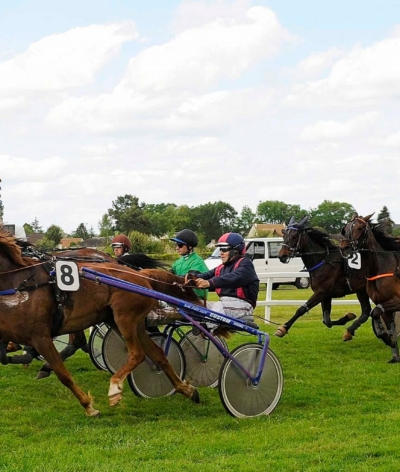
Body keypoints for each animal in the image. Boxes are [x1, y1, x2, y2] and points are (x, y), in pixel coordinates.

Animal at [0, 230, 202, 416]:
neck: (21, 283)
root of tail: (140, 276)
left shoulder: (40, 336)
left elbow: (63, 374)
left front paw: (88, 406)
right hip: (124, 322)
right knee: (158, 354)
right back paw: (187, 390)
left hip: (124, 319)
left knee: (136, 354)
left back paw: (115, 388)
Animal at [340, 212, 400, 364]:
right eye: (346, 228)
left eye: (360, 228)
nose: (344, 247)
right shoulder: (383, 304)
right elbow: (380, 317)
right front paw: (393, 350)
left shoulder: (397, 301)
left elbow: (375, 312)